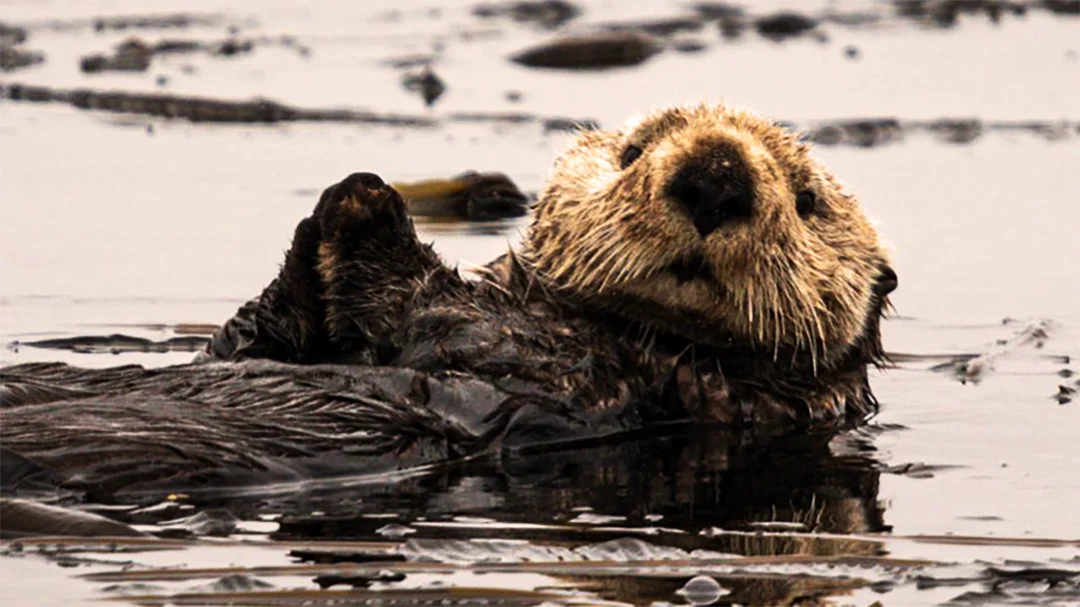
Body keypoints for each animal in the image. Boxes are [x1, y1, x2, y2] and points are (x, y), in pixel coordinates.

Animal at [0, 101, 894, 494]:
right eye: (635, 149)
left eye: (808, 199)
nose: (715, 176)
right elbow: (253, 333)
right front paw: (352, 201)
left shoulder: (600, 383)